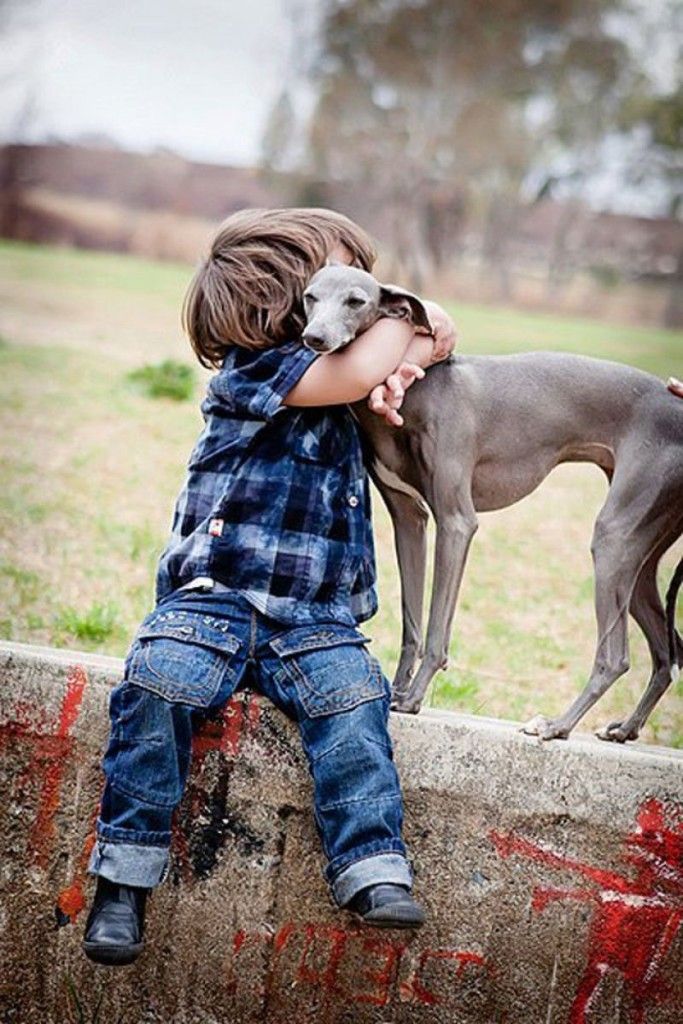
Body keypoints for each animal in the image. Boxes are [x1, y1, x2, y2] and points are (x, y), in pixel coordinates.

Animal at [301, 264, 683, 745]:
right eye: (310, 297)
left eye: (356, 301)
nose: (314, 338)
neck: (419, 392)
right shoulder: (410, 519)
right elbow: (412, 621)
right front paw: (399, 689)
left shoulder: (456, 522)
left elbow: (436, 628)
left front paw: (414, 697)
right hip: (640, 563)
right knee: (667, 653)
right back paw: (626, 728)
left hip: (614, 542)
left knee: (615, 657)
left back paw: (556, 726)